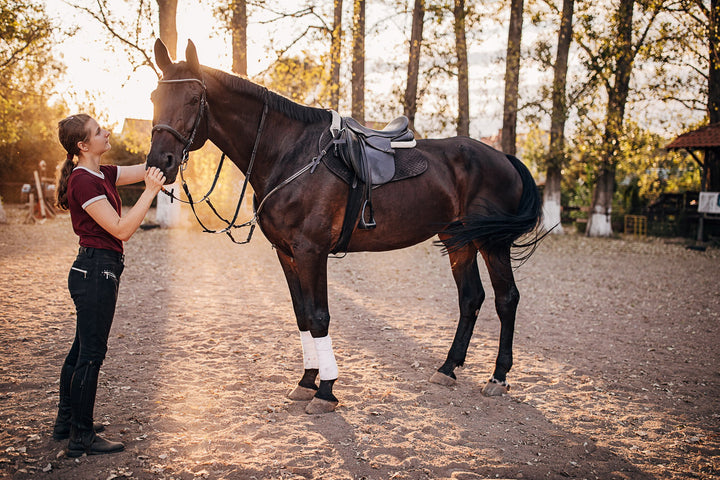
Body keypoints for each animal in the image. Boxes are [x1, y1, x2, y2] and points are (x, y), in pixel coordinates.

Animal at [146, 39, 544, 414]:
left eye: (194, 98)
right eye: (153, 96)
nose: (159, 162)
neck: (290, 153)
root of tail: (504, 157)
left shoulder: (311, 251)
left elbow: (319, 317)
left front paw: (325, 390)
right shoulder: (286, 253)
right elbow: (303, 316)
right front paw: (307, 381)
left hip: (491, 243)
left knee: (506, 299)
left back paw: (498, 376)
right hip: (458, 239)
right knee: (471, 298)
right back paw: (448, 369)